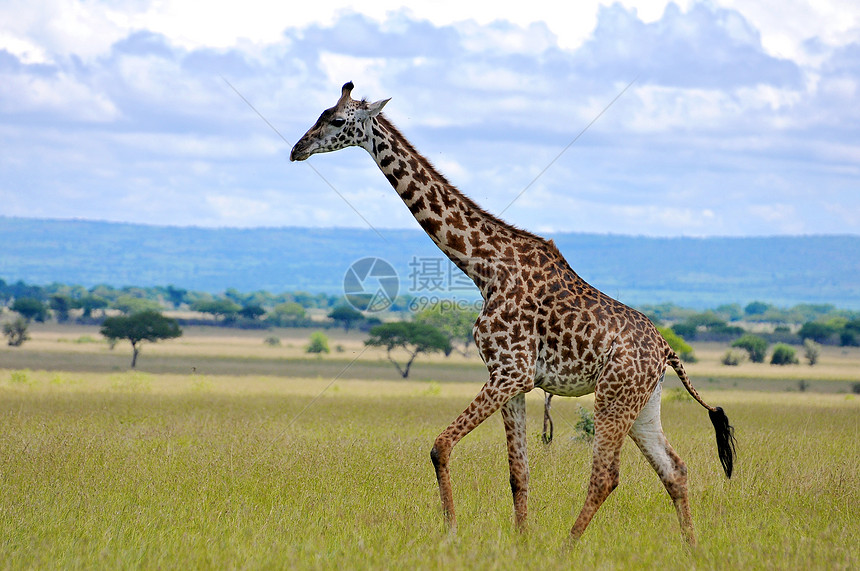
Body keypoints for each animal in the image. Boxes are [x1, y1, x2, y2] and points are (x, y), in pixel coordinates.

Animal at [292, 81, 736, 544]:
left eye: (336, 120)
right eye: (320, 113)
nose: (296, 149)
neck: (485, 267)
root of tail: (667, 350)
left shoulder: (511, 371)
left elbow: (440, 446)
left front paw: (451, 533)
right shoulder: (514, 381)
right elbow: (518, 474)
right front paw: (521, 542)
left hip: (614, 394)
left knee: (606, 476)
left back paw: (567, 547)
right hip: (643, 401)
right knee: (675, 470)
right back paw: (691, 548)